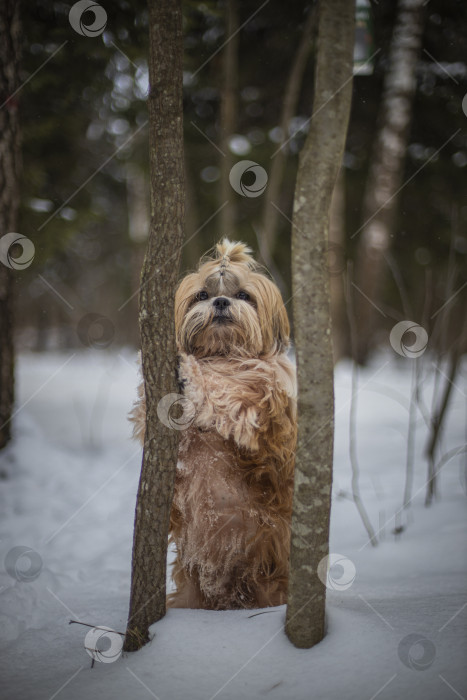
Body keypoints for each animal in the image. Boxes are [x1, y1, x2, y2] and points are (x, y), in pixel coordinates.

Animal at [131, 239, 296, 608]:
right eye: (202, 295)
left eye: (244, 295)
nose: (221, 301)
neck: (222, 354)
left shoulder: (262, 415)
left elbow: (226, 392)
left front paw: (192, 374)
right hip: (192, 591)